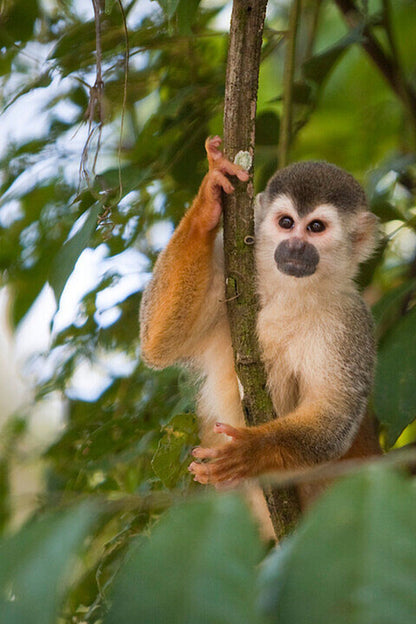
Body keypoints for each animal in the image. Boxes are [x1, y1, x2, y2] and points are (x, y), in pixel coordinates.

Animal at [141, 136, 382, 502]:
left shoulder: (351, 319)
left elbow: (333, 416)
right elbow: (157, 342)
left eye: (315, 227)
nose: (294, 247)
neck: (288, 291)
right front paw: (209, 197)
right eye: (286, 223)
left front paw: (254, 450)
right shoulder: (230, 273)